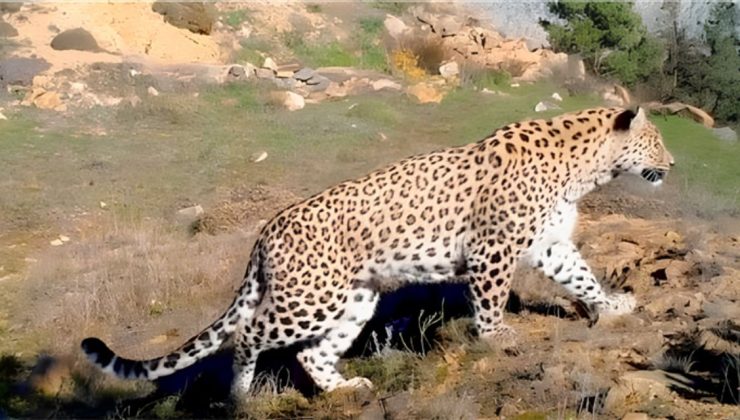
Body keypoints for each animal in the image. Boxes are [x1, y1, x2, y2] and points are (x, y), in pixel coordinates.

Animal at [82, 106, 676, 396]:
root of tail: (268, 229)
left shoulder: (549, 244)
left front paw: (612, 304)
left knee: (311, 354)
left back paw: (345, 389)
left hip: (355, 299)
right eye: (656, 142)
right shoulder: (494, 249)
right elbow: (490, 300)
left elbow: (581, 275)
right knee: (248, 334)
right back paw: (241, 396)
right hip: (309, 298)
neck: (585, 170)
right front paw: (498, 336)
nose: (671, 165)